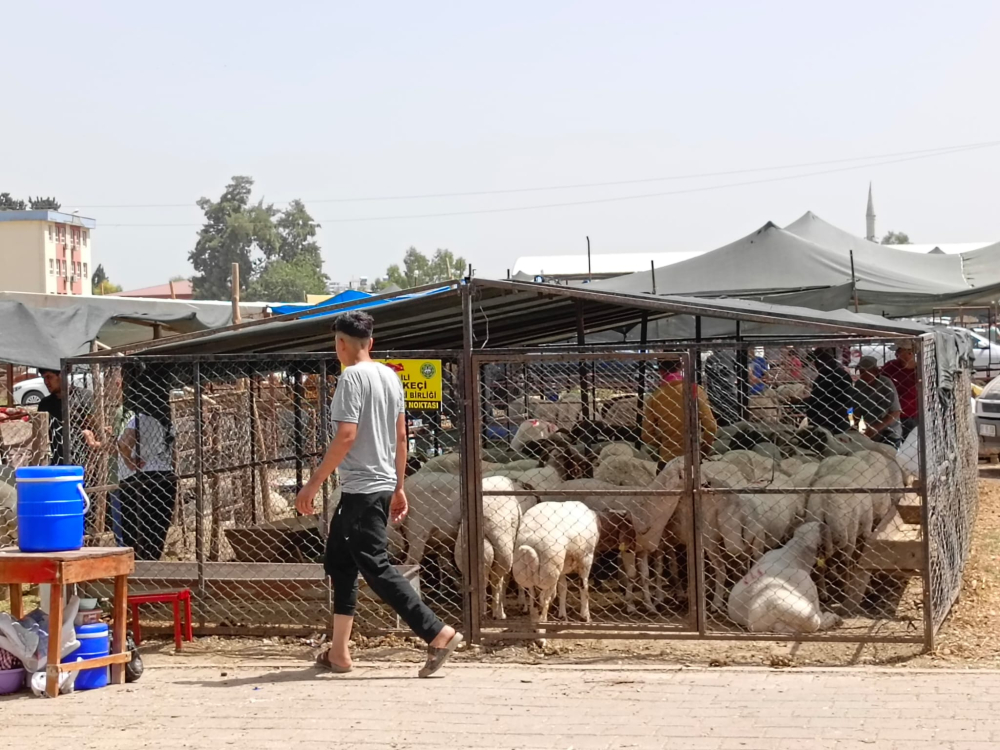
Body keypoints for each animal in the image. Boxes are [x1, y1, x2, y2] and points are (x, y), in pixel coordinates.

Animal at [512, 502, 596, 644]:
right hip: (549, 572)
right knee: (542, 604)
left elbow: (563, 588)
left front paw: (562, 615)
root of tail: (531, 544)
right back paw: (541, 637)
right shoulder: (586, 559)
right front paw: (585, 617)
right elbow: (584, 587)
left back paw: (536, 628)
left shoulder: (562, 568)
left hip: (533, 576)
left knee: (534, 603)